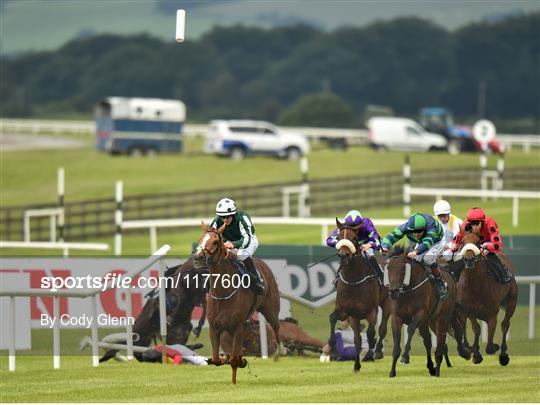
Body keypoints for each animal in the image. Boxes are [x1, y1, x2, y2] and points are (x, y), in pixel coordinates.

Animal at [194, 221, 280, 382]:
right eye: (199, 239)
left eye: (215, 242)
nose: (198, 258)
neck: (223, 293)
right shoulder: (215, 327)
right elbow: (217, 359)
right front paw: (226, 358)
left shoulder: (238, 326)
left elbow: (234, 360)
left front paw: (237, 367)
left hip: (271, 309)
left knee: (276, 326)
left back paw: (279, 352)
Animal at [326, 219, 390, 370]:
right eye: (338, 237)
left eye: (355, 238)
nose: (344, 256)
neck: (353, 281)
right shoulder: (346, 311)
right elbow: (333, 319)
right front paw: (334, 351)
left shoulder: (371, 310)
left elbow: (371, 332)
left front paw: (371, 350)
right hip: (355, 316)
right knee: (357, 338)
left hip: (387, 303)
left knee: (382, 328)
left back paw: (377, 351)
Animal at [456, 230, 520, 366]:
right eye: (462, 242)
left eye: (478, 242)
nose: (469, 259)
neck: (476, 287)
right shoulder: (468, 311)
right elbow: (476, 329)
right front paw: (475, 353)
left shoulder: (492, 314)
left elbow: (489, 346)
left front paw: (494, 347)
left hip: (512, 302)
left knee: (505, 324)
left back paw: (503, 352)